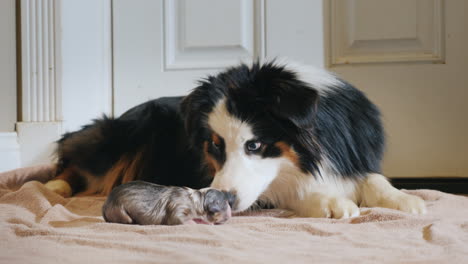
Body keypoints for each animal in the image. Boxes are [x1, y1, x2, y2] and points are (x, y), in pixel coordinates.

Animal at [102, 182, 234, 225]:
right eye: (225, 203)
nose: (231, 214)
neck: (199, 199)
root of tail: (105, 205)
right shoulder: (178, 207)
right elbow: (177, 218)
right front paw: (193, 222)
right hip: (119, 210)